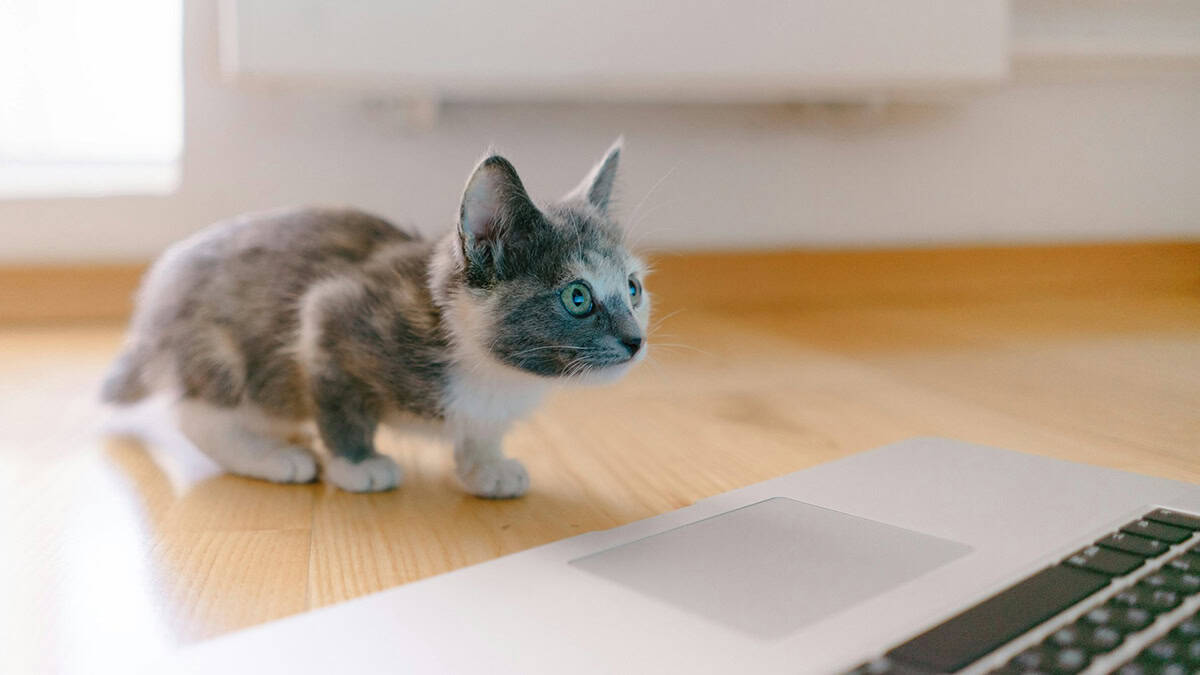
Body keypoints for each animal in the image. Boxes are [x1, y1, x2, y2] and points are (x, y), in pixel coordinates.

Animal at [100, 140, 648, 494]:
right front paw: (356, 464)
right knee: (195, 411)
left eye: (633, 289)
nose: (635, 340)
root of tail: (152, 307)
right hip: (225, 349)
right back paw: (272, 455)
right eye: (577, 297)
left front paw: (485, 466)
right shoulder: (332, 316)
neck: (491, 371)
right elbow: (341, 402)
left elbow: (481, 430)